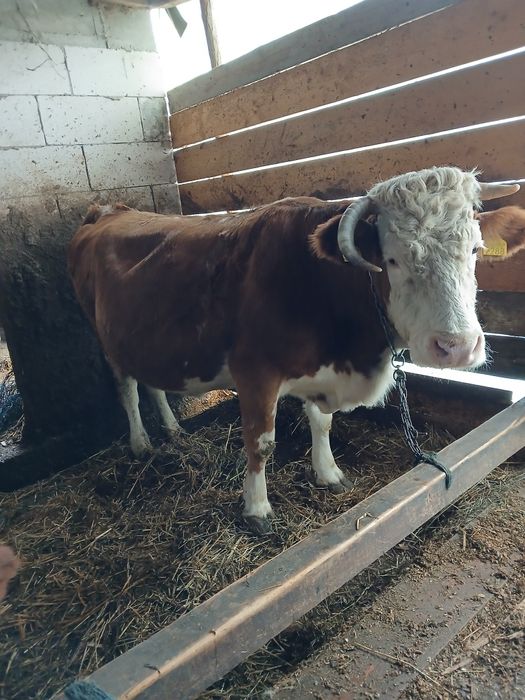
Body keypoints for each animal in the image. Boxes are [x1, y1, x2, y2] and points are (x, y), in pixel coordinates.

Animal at [69, 167, 524, 534]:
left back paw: (172, 429)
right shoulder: (254, 372)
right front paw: (256, 510)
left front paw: (329, 473)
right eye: (392, 260)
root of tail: (108, 210)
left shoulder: (319, 371)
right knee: (127, 389)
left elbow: (322, 423)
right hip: (101, 335)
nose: (456, 346)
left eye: (475, 250)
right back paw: (141, 443)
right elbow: (260, 442)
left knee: (153, 384)